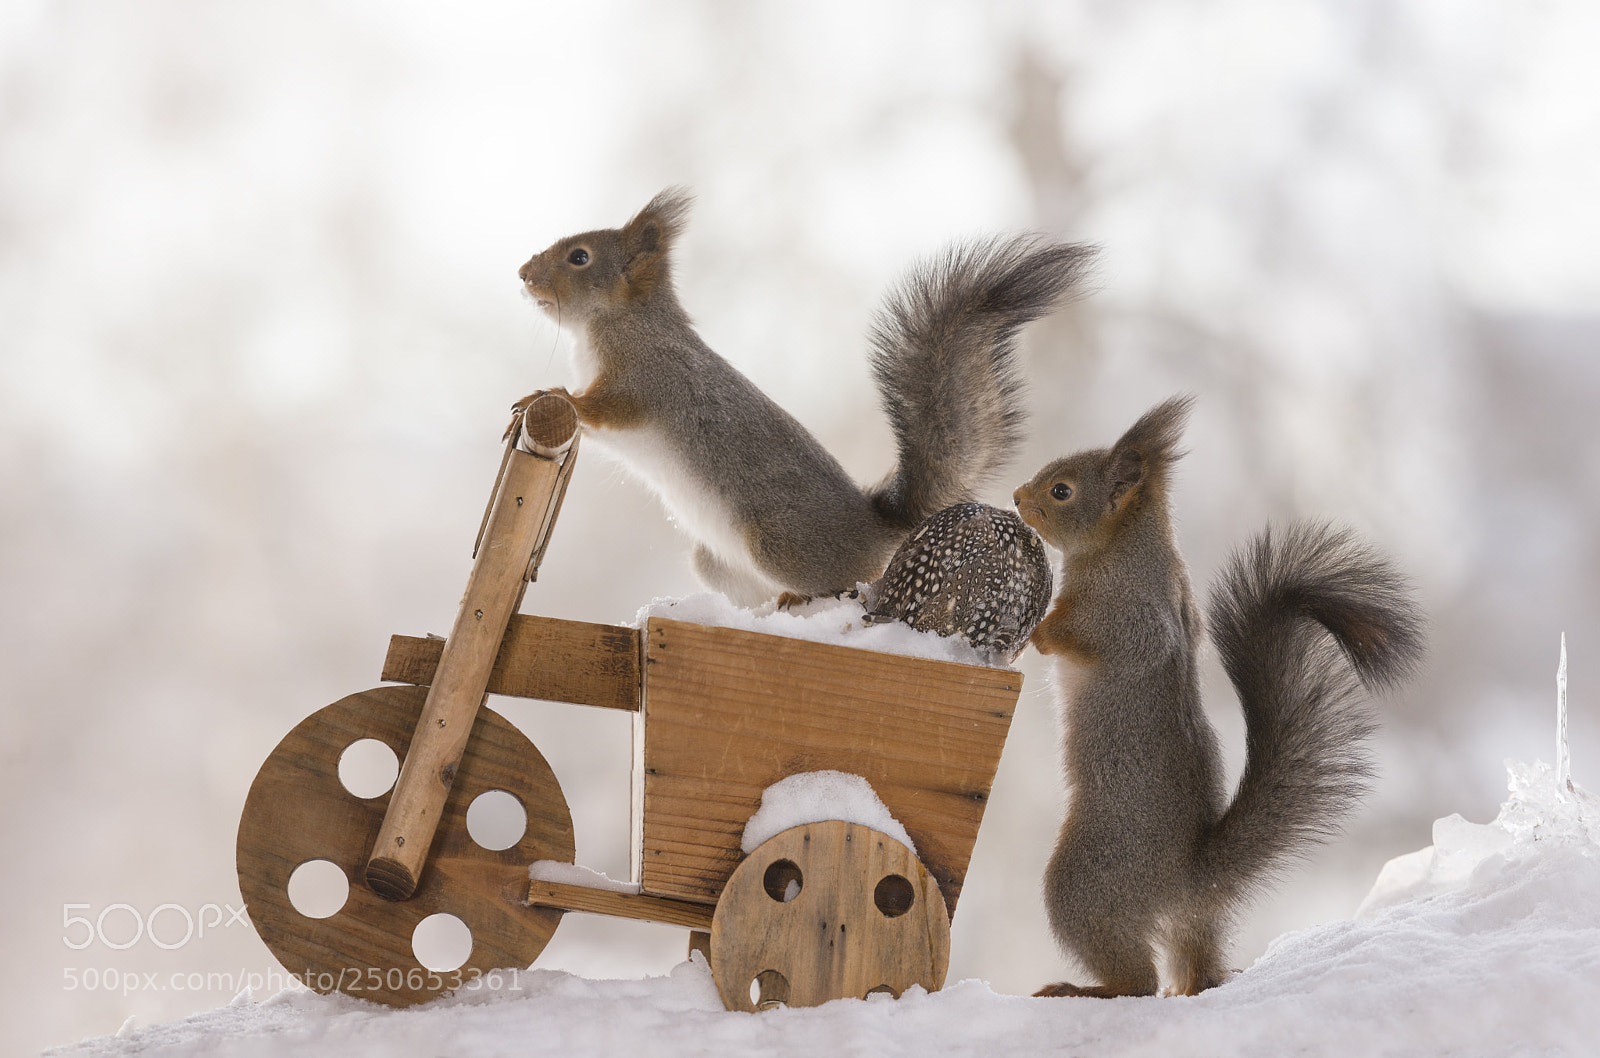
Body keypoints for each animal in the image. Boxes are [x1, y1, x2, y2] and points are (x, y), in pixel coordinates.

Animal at [514, 188, 1095, 606]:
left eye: (580, 257)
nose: (522, 274)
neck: (613, 323)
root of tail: (874, 532)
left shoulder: (647, 378)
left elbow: (604, 409)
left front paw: (554, 395)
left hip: (779, 543)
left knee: (842, 584)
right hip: (720, 564)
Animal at [1012, 395, 1425, 997]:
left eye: (1061, 491)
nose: (1017, 497)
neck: (1121, 546)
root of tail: (1186, 881)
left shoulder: (1130, 611)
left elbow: (1103, 639)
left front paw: (1040, 633)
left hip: (1088, 879)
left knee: (1137, 981)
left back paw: (1084, 990)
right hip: (1188, 923)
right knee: (1197, 966)